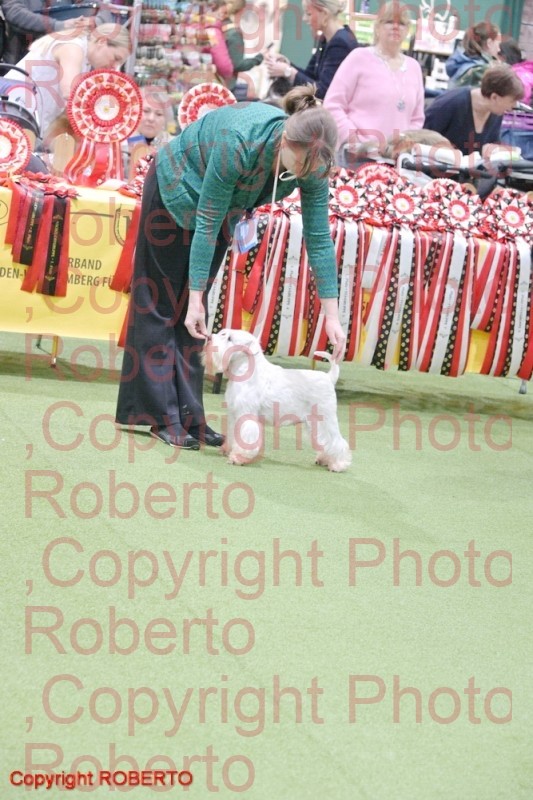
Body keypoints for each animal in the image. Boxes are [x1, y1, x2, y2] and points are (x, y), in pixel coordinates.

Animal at [203, 329, 352, 472]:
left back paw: (338, 465)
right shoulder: (234, 414)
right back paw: (324, 460)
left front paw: (238, 458)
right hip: (315, 423)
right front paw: (227, 450)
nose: (209, 338)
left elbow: (246, 438)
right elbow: (233, 434)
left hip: (325, 418)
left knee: (337, 441)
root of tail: (329, 377)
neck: (245, 369)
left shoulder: (246, 414)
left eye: (229, 338)